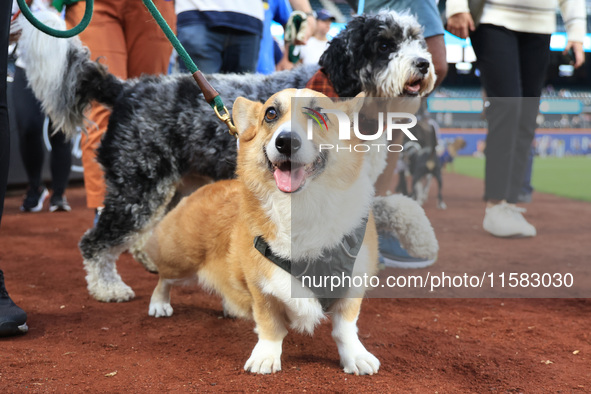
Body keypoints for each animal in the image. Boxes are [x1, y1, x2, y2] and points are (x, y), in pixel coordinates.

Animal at [18, 11, 438, 302]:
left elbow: (396, 205)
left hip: (169, 185)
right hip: (138, 183)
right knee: (96, 241)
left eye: (416, 40)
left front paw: (418, 239)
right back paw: (107, 287)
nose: (424, 64)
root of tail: (127, 89)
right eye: (384, 45)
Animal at [144, 89, 384, 376]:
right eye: (271, 113)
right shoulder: (262, 289)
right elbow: (270, 327)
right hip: (182, 262)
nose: (286, 142)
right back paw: (159, 304)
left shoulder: (352, 286)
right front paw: (265, 358)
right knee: (164, 279)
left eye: (319, 115)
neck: (300, 209)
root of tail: (205, 187)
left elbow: (346, 329)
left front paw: (356, 357)